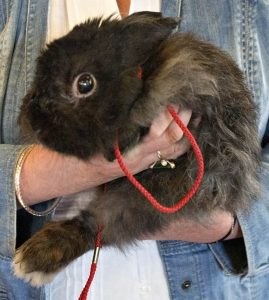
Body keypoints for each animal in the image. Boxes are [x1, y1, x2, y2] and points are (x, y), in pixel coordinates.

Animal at [14, 12, 260, 288]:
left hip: (147, 198)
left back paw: (34, 258)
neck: (141, 80)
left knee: (97, 225)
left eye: (85, 84)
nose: (30, 120)